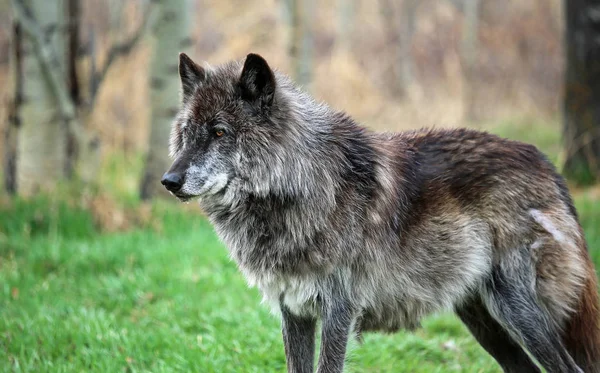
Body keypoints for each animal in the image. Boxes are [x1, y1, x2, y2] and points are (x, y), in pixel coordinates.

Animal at [163, 53, 600, 372]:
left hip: (519, 311)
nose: (169, 180)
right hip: (483, 320)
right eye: (186, 134)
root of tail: (546, 164)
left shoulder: (339, 311)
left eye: (219, 132)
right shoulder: (294, 312)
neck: (303, 184)